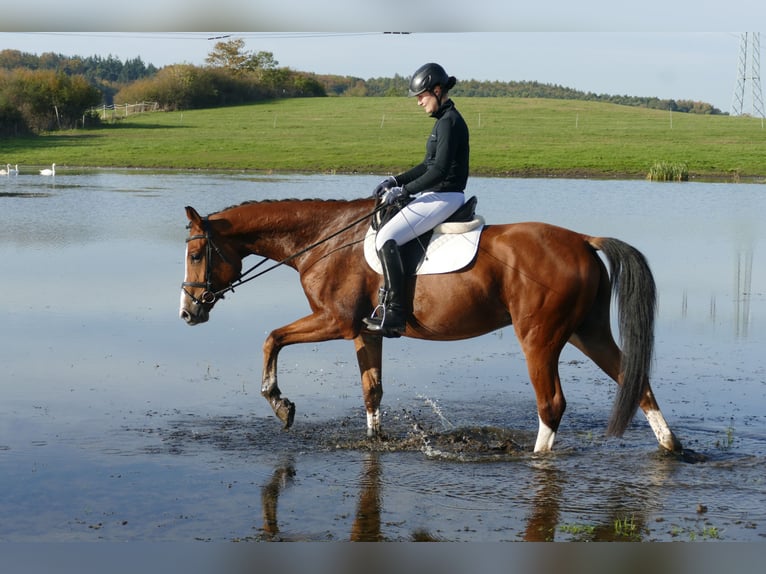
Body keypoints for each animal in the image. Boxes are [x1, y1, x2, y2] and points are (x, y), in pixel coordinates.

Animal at [180, 197, 684, 454]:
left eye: (196, 253)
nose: (188, 312)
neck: (325, 240)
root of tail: (582, 240)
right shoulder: (365, 331)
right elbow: (372, 390)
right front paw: (374, 439)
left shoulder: (334, 321)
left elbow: (272, 338)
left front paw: (279, 403)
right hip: (586, 332)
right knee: (636, 381)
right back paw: (670, 446)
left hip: (540, 338)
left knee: (552, 404)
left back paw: (537, 458)